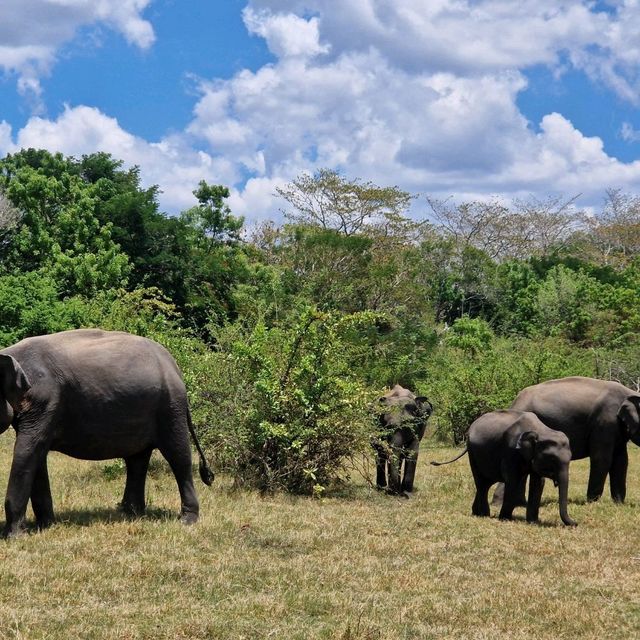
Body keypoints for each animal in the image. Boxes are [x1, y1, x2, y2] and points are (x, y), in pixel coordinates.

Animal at [0, 328, 215, 536]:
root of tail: (175, 366)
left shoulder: (45, 401)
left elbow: (28, 451)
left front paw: (15, 536)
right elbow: (37, 455)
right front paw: (46, 526)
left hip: (170, 407)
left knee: (178, 456)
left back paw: (187, 520)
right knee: (137, 459)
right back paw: (131, 513)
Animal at [430, 410, 576, 524]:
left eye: (570, 458)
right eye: (552, 459)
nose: (575, 523)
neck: (541, 430)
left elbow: (538, 482)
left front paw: (533, 522)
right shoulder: (510, 451)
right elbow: (513, 480)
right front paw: (505, 519)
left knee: (486, 483)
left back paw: (476, 513)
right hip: (473, 454)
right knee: (481, 483)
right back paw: (485, 515)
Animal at [510, 376, 640, 504]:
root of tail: (515, 401)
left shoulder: (618, 430)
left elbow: (621, 461)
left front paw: (619, 503)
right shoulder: (605, 423)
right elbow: (602, 458)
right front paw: (592, 502)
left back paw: (521, 503)